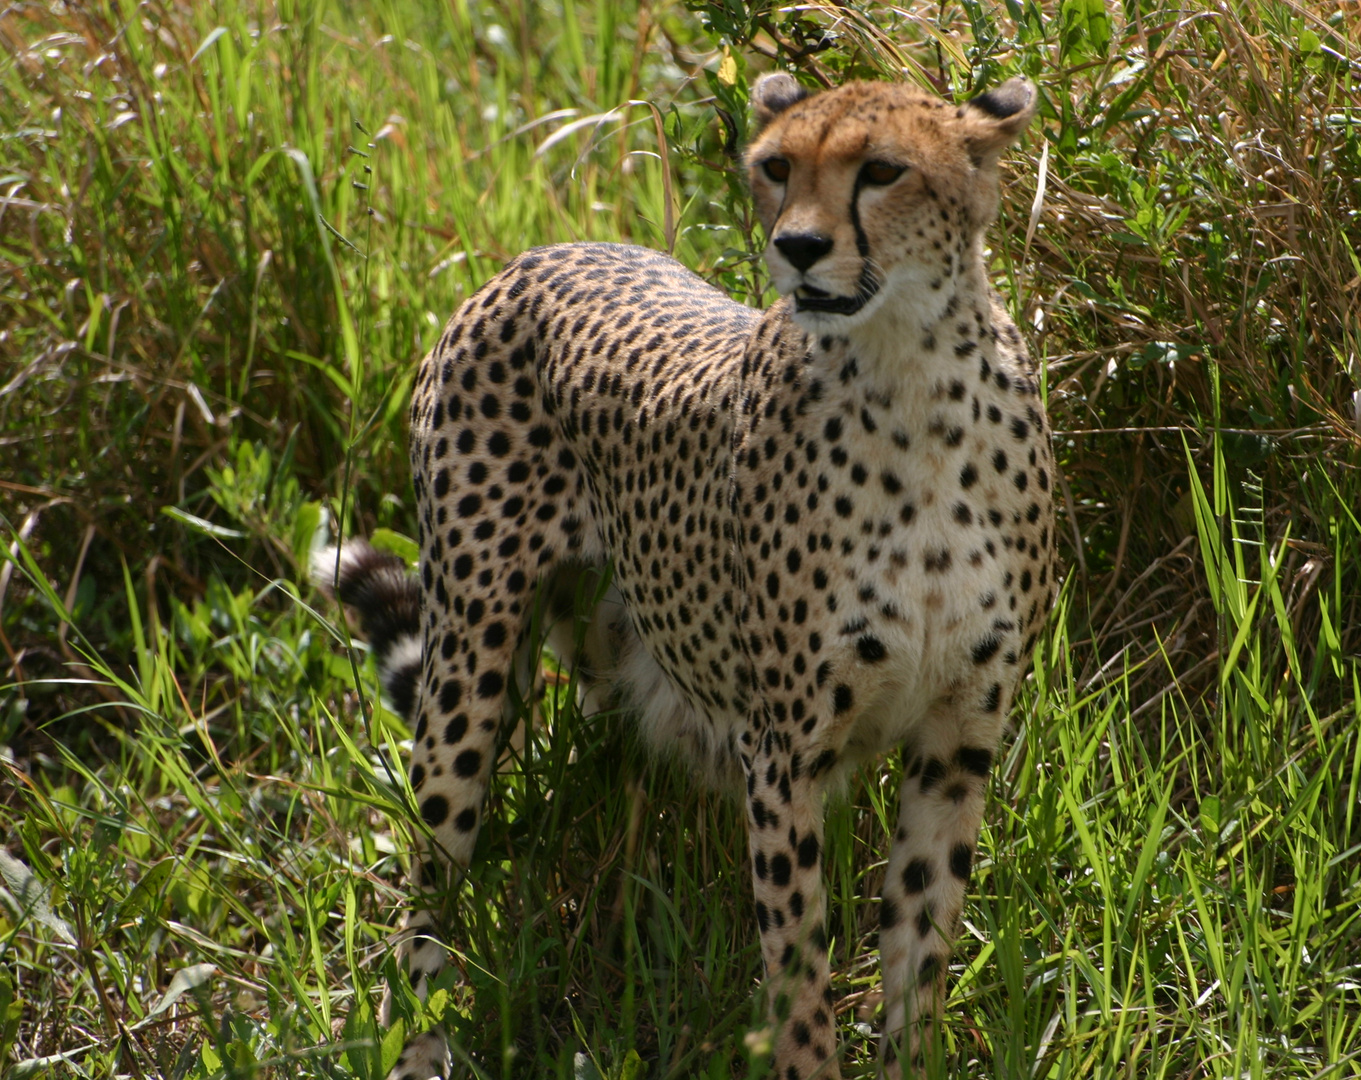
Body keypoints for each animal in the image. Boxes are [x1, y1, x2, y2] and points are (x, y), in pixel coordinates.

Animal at [318, 71, 1050, 1071]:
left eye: (882, 171)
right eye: (776, 167)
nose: (797, 247)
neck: (911, 378)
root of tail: (543, 254)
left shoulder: (956, 738)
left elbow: (920, 947)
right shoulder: (781, 752)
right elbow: (798, 972)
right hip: (470, 666)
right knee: (428, 877)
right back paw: (416, 1045)